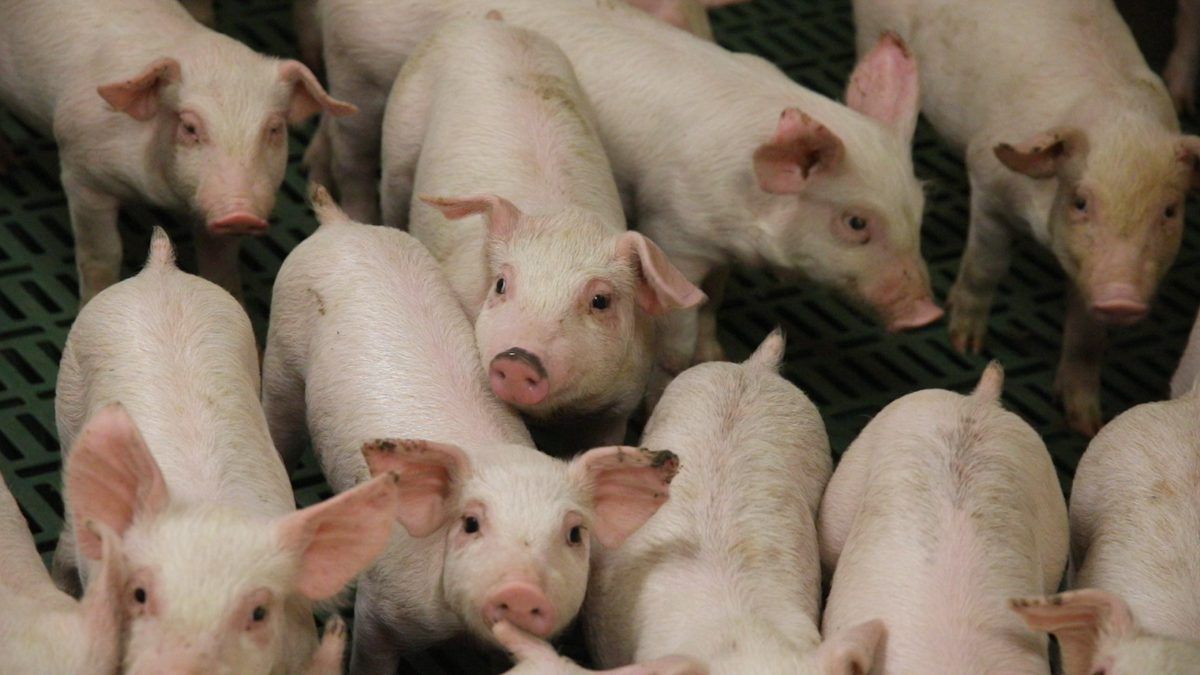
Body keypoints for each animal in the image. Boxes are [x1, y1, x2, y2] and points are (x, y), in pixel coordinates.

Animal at [0, 0, 353, 304]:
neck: (162, 197)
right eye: (189, 127)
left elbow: (220, 266)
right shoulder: (81, 173)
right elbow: (101, 255)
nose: (240, 213)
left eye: (275, 129)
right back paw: (9, 163)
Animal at [261, 186, 679, 674]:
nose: (520, 590)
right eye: (471, 523)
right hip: (282, 356)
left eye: (575, 534)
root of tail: (340, 226)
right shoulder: (379, 607)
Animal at [310, 0, 940, 384]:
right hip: (359, 78)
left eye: (920, 209)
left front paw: (715, 353)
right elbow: (681, 320)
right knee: (351, 154)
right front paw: (685, 366)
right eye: (856, 223)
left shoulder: (715, 248)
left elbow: (714, 297)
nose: (925, 314)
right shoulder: (674, 225)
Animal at [381, 19, 705, 453]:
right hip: (401, 125)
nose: (518, 359)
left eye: (600, 301)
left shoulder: (618, 403)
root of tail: (497, 24)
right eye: (501, 284)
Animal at [854, 0, 1200, 435]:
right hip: (874, 35)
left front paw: (1086, 423)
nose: (1122, 298)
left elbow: (1088, 337)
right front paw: (966, 345)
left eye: (1169, 211)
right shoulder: (988, 183)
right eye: (1080, 201)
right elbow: (986, 266)